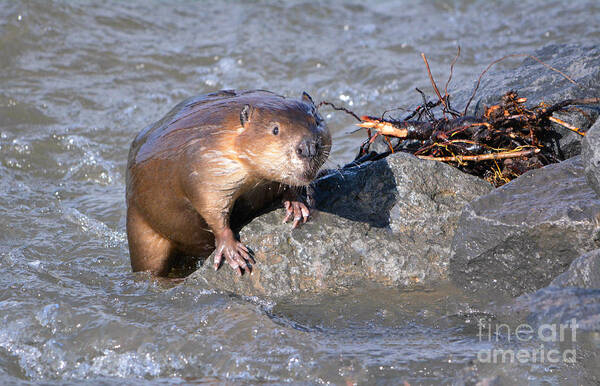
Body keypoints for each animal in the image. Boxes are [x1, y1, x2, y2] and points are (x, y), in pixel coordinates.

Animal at [127, 89, 332, 278]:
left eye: (316, 121)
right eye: (275, 129)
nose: (308, 147)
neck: (226, 132)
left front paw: (297, 206)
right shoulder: (205, 165)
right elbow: (211, 207)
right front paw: (234, 252)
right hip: (141, 229)